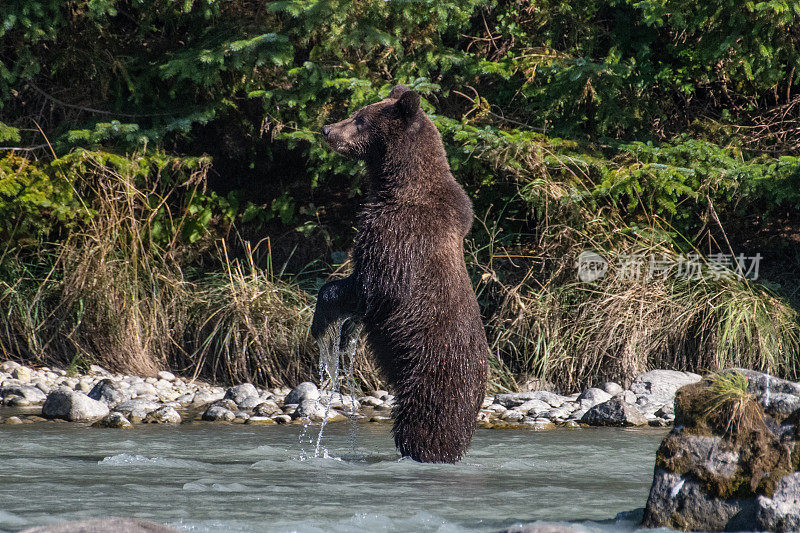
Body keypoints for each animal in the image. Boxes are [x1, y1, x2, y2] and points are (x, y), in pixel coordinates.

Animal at [310, 84, 488, 462]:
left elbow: (370, 286)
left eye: (360, 119)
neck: (396, 185)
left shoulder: (400, 236)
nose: (328, 129)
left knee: (423, 427)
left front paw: (323, 322)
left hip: (432, 382)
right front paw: (343, 336)